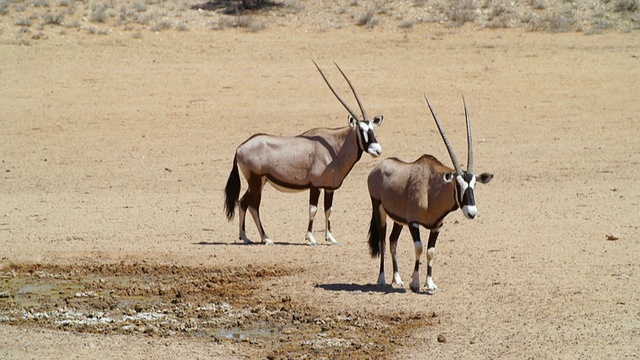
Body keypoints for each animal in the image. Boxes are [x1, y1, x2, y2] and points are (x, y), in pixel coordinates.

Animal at [225, 62, 382, 248]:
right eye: (361, 130)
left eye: (373, 129)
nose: (377, 150)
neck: (335, 147)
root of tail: (240, 147)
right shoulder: (315, 185)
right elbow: (313, 209)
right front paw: (311, 238)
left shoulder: (329, 187)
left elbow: (328, 210)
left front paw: (331, 238)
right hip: (256, 181)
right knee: (253, 206)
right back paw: (266, 238)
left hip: (259, 181)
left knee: (243, 202)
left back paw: (245, 237)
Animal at [364, 95, 496, 292]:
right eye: (457, 184)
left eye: (474, 184)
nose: (472, 212)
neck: (432, 191)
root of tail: (377, 168)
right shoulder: (414, 223)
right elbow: (419, 247)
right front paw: (415, 283)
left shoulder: (437, 226)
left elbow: (431, 251)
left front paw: (430, 283)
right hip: (379, 208)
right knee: (382, 241)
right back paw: (382, 279)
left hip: (398, 220)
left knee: (393, 241)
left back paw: (397, 278)